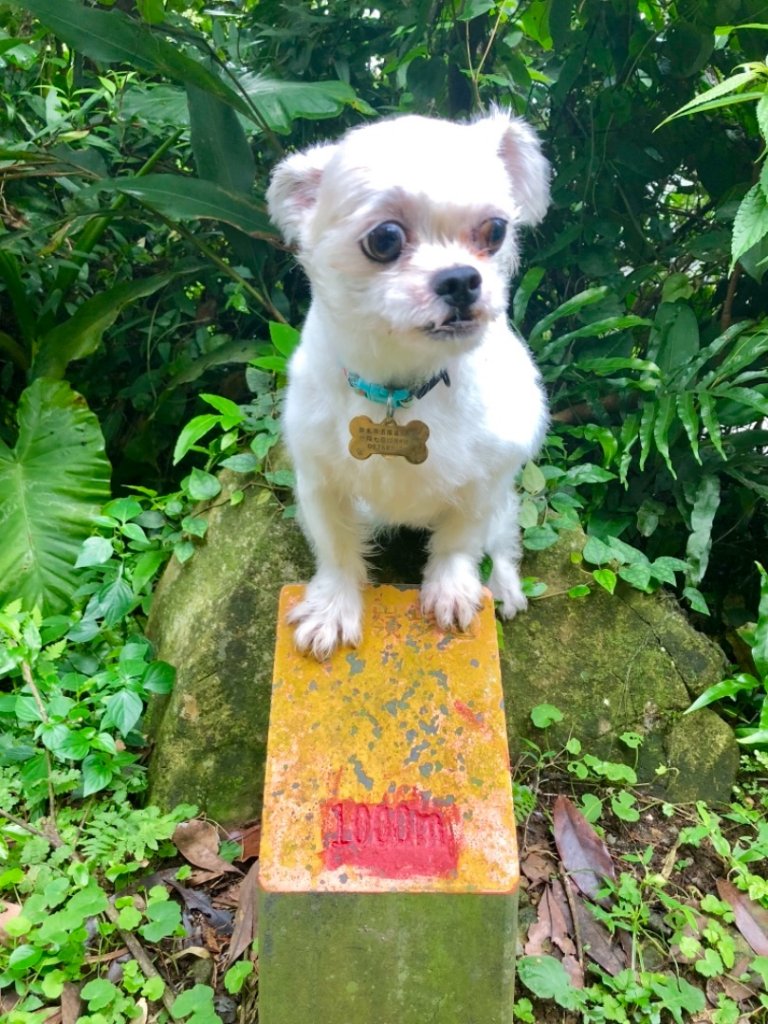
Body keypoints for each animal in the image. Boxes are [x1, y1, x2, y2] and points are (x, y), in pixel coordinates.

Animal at [268, 110, 548, 655]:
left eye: (495, 230)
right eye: (385, 239)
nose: (461, 279)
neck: (402, 386)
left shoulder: (483, 483)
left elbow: (460, 542)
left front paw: (451, 590)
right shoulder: (320, 481)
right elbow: (336, 549)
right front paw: (333, 608)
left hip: (505, 499)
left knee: (503, 538)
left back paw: (505, 587)